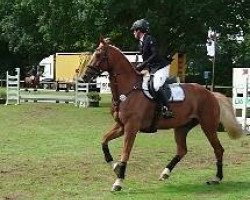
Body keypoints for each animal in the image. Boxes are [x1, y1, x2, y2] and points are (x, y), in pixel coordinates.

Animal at [82, 38, 244, 191]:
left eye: (98, 55)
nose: (84, 77)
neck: (128, 90)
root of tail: (210, 93)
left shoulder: (131, 127)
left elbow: (125, 152)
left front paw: (118, 182)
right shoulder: (121, 126)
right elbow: (104, 141)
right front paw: (115, 167)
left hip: (208, 126)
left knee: (218, 149)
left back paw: (217, 178)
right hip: (182, 127)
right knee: (182, 150)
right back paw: (165, 173)